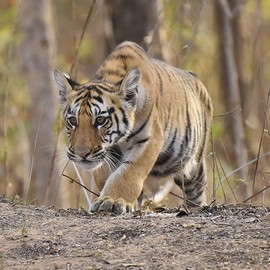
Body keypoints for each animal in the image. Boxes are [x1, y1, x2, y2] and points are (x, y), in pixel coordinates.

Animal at [53, 40, 213, 213]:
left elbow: (127, 172)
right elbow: (104, 174)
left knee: (196, 191)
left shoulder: (150, 139)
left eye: (100, 120)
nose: (82, 154)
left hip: (191, 166)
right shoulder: (108, 154)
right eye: (72, 121)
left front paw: (111, 201)